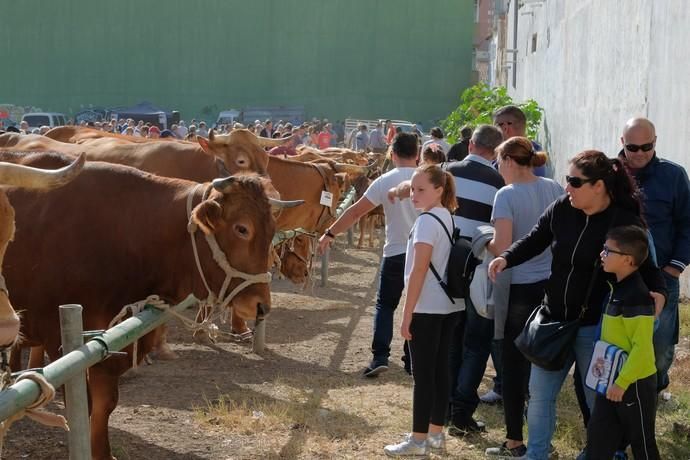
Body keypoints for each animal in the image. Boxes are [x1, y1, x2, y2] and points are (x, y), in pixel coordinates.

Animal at [0, 152, 290, 460]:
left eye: (272, 230)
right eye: (242, 228)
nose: (261, 306)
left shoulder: (111, 344)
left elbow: (106, 403)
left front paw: (103, 452)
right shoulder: (63, 341)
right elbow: (85, 405)